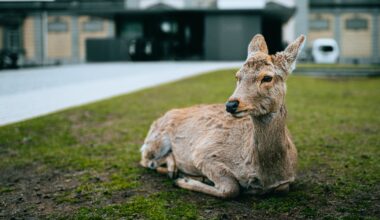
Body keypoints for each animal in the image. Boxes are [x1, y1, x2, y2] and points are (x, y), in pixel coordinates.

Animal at [140, 34, 306, 198]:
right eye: (237, 76)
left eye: (267, 77)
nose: (231, 104)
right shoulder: (202, 153)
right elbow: (231, 189)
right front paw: (184, 180)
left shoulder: (288, 179)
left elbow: (282, 189)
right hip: (157, 141)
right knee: (147, 160)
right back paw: (174, 171)